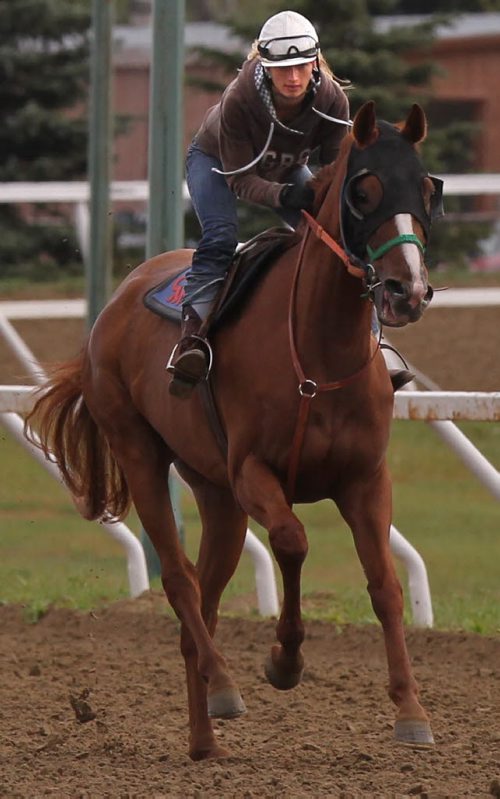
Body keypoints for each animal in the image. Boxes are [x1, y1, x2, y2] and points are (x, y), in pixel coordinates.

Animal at [26, 101, 442, 764]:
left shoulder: (365, 479)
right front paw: (284, 661)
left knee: (205, 600)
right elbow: (294, 541)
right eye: (364, 190)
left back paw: (206, 741)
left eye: (428, 188)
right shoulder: (253, 473)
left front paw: (411, 711)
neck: (318, 358)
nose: (409, 290)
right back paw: (224, 685)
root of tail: (117, 300)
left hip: (215, 493)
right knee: (179, 580)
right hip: (141, 453)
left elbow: (385, 586)